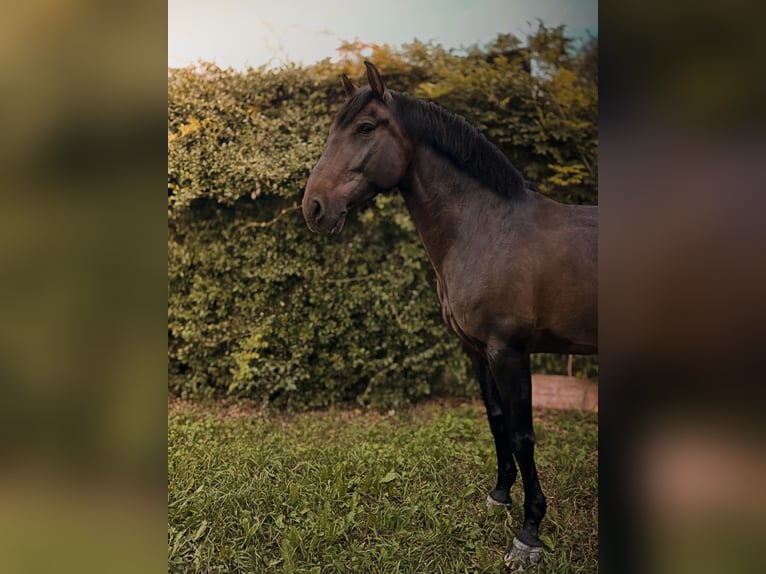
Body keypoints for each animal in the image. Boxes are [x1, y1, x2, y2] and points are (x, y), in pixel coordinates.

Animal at [301, 61, 597, 569]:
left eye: (365, 127)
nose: (313, 207)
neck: (487, 230)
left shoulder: (509, 352)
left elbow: (523, 434)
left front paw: (529, 532)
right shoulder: (476, 350)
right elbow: (496, 418)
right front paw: (500, 495)